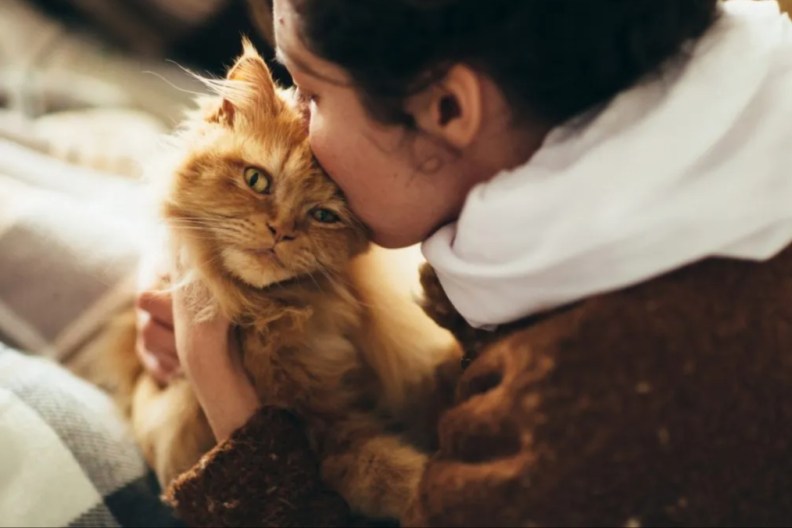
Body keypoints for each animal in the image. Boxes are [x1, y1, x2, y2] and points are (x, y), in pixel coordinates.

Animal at [93, 39, 460, 520]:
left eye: (323, 215)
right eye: (257, 180)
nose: (281, 231)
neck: (274, 318)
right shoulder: (322, 434)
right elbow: (392, 473)